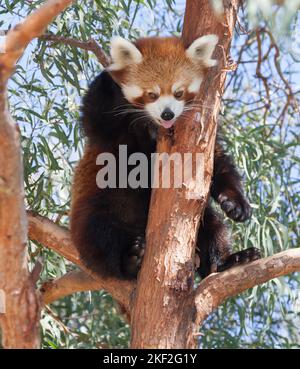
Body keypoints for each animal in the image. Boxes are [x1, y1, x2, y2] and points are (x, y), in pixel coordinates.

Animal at [71, 36, 260, 278]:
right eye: (151, 94)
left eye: (179, 93)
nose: (167, 114)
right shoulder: (107, 131)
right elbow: (99, 114)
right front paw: (112, 76)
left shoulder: (203, 141)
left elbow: (218, 167)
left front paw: (236, 204)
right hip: (97, 207)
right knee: (101, 236)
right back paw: (130, 260)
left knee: (213, 229)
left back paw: (229, 261)